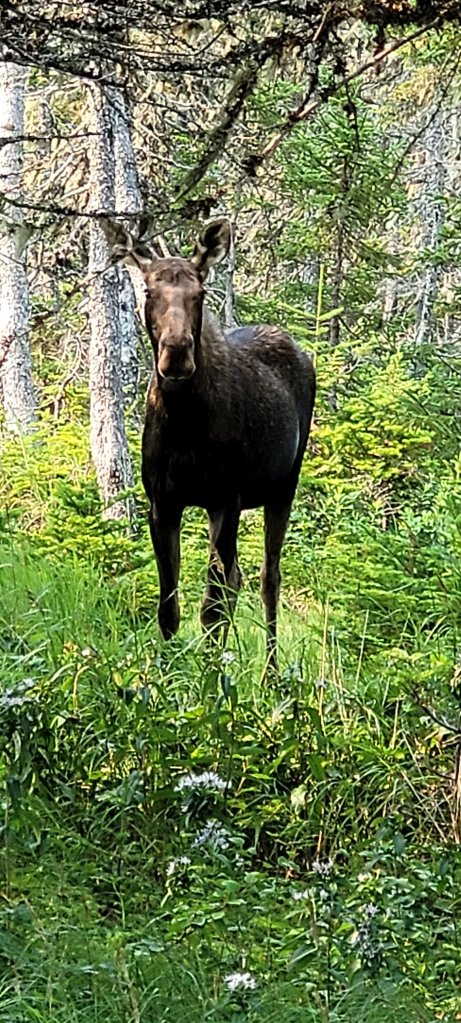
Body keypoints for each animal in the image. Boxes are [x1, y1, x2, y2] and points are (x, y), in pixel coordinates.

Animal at [100, 216, 315, 672]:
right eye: (149, 291)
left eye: (198, 294)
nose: (177, 354)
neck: (185, 424)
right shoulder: (162, 501)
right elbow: (169, 608)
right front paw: (167, 674)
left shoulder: (225, 499)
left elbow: (210, 608)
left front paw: (209, 680)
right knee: (238, 578)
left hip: (284, 485)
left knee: (268, 577)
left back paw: (271, 673)